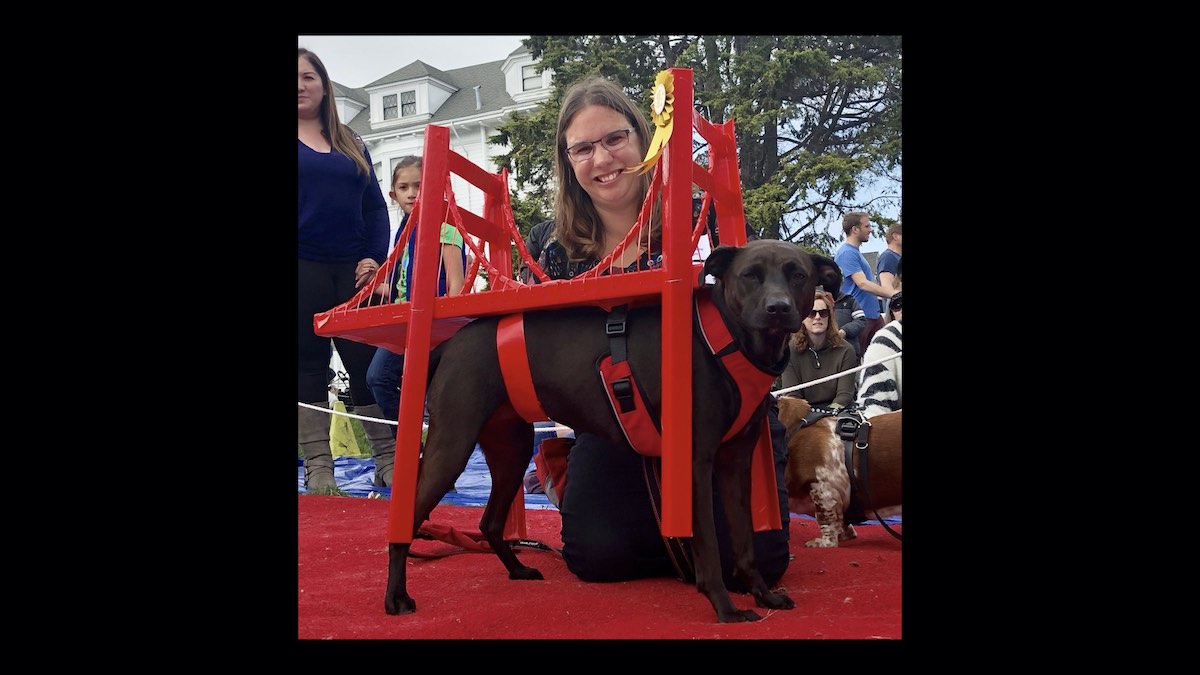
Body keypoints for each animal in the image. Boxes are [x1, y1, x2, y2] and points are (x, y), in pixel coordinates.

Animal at [384, 239, 816, 624]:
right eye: (750, 275)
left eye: (798, 275)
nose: (778, 309)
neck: (723, 340)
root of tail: (449, 344)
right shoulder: (694, 464)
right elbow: (709, 548)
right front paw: (725, 609)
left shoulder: (734, 465)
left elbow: (744, 542)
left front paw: (761, 594)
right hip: (452, 445)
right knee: (408, 519)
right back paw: (396, 596)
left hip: (511, 451)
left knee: (489, 522)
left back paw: (517, 569)